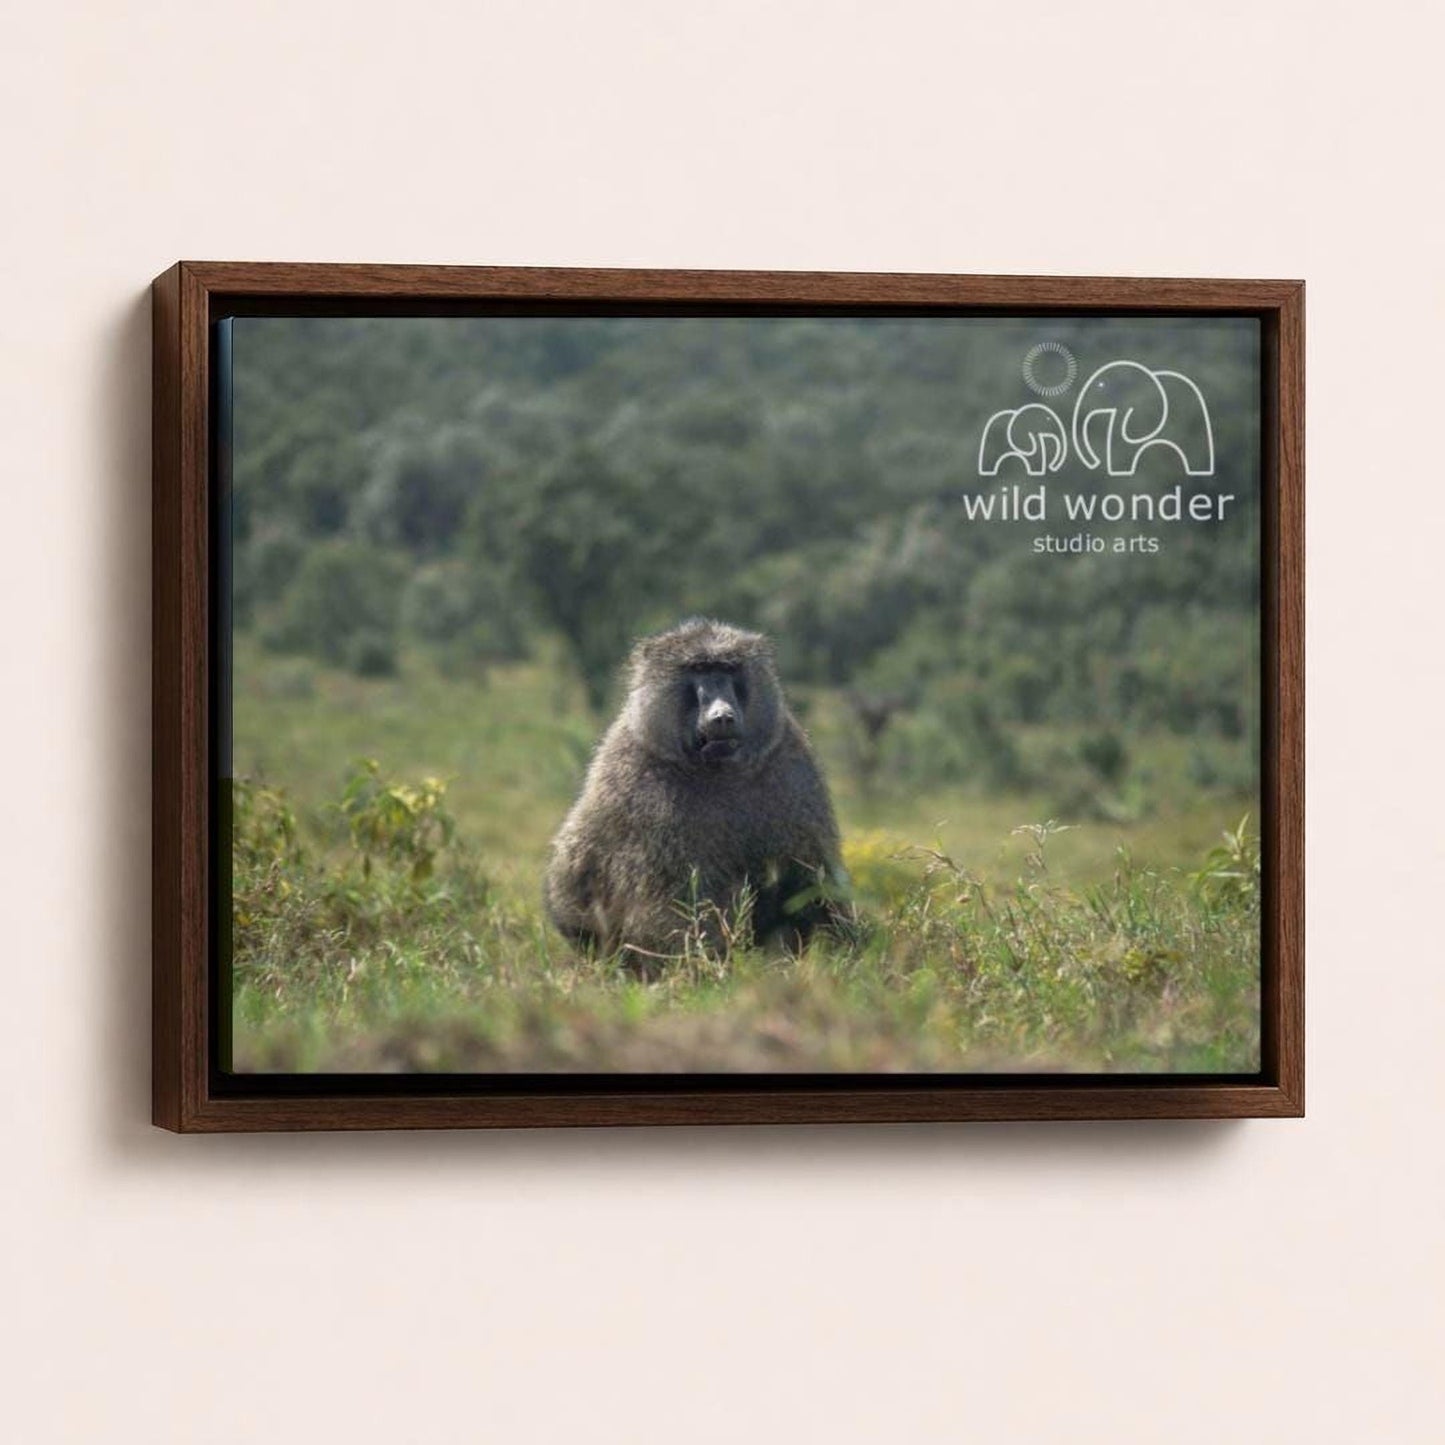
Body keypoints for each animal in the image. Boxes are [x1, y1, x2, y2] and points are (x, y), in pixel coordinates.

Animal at [544, 618, 847, 961]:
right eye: (699, 669)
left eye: (728, 669)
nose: (723, 716)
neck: (717, 771)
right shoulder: (644, 789)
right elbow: (673, 901)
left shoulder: (790, 765)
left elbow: (811, 877)